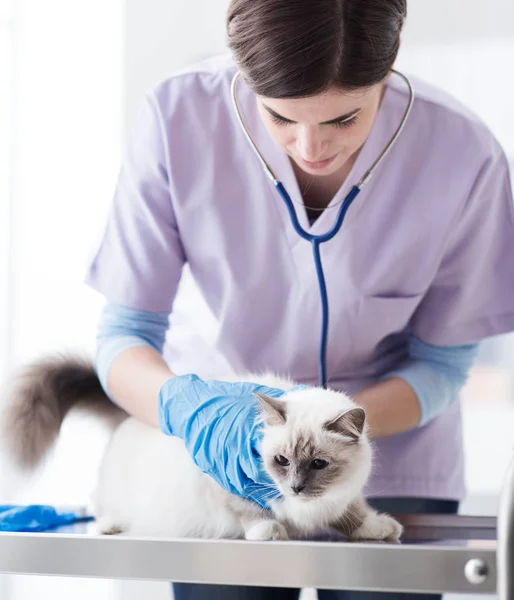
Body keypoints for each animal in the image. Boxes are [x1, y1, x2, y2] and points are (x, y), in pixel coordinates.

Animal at [2, 356, 402, 544]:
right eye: (281, 461)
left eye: (319, 464)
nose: (296, 488)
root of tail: (132, 415)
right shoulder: (223, 485)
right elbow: (251, 513)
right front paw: (269, 530)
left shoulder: (340, 498)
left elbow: (354, 513)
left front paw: (380, 528)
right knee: (97, 503)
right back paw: (109, 525)